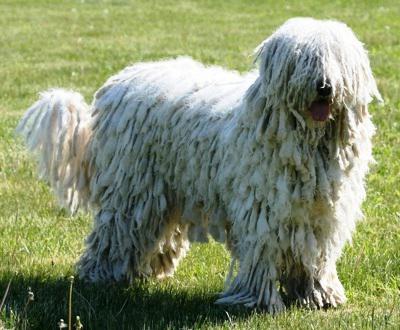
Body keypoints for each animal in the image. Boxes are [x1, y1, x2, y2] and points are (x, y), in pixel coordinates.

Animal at [18, 17, 382, 312]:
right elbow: (262, 251)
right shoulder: (262, 209)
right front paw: (259, 301)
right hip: (132, 187)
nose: (324, 87)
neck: (306, 142)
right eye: (303, 59)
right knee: (116, 232)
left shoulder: (320, 214)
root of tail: (117, 85)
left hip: (163, 191)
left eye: (338, 60)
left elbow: (315, 255)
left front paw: (318, 295)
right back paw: (100, 275)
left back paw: (149, 270)